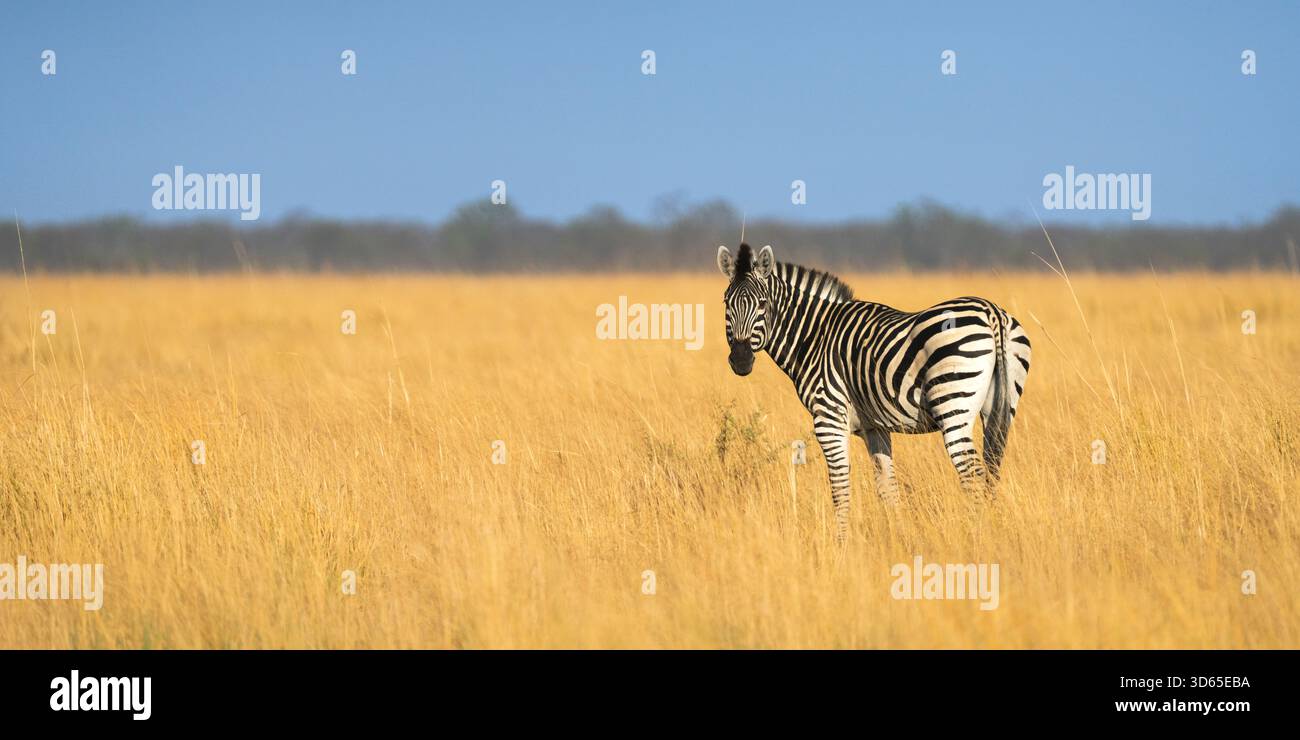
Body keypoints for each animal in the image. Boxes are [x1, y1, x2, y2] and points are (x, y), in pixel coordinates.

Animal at [717, 242, 1031, 539]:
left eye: (762, 304)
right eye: (726, 303)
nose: (741, 360)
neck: (815, 337)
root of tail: (991, 312)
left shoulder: (828, 420)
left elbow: (840, 489)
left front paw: (841, 545)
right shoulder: (875, 427)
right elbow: (887, 489)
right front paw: (898, 539)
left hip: (953, 407)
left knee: (973, 475)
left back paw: (976, 536)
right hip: (1000, 410)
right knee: (990, 472)